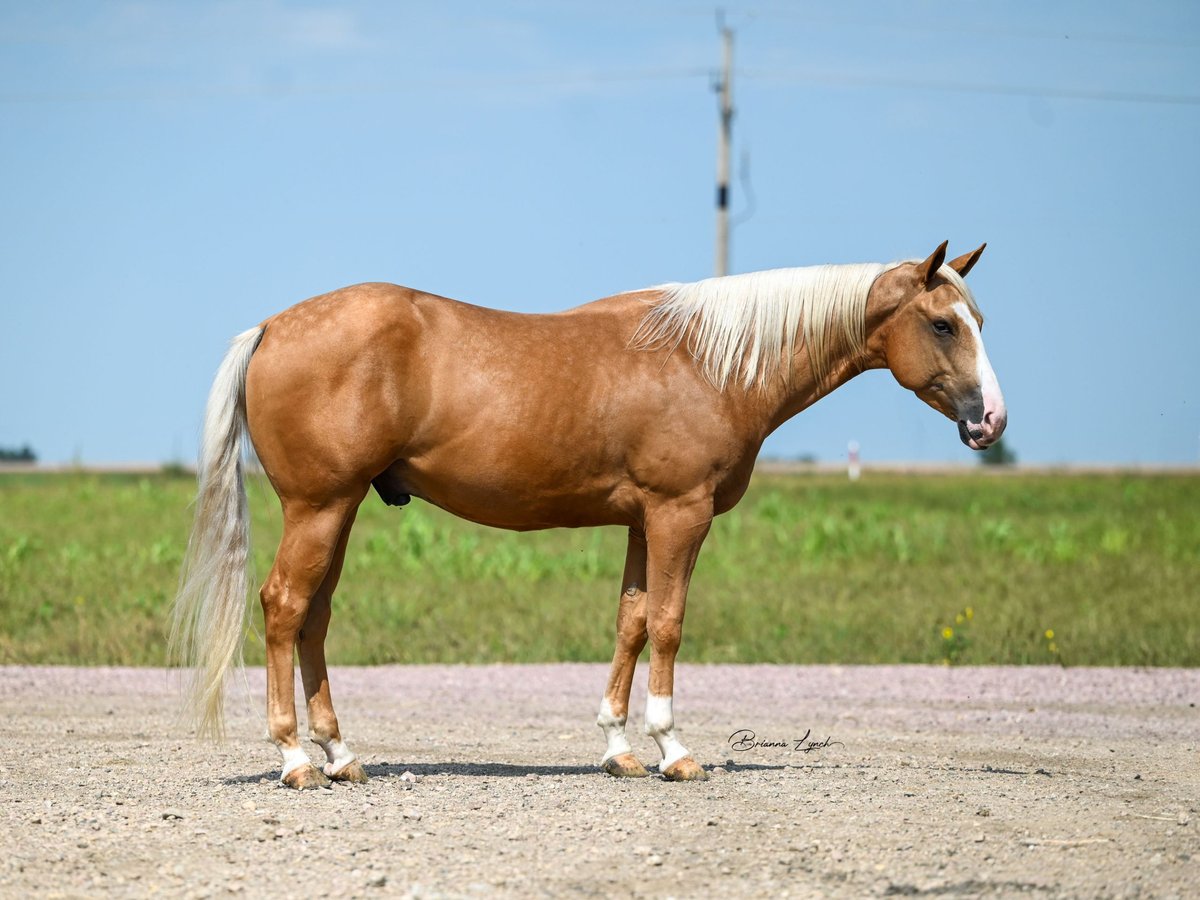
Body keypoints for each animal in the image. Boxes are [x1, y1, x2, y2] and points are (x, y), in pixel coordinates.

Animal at [174, 240, 1008, 787]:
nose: (990, 421)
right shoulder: (681, 514)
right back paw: (293, 760)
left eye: (978, 321)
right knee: (285, 607)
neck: (708, 361)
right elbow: (668, 622)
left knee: (314, 617)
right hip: (320, 506)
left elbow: (631, 620)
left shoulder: (644, 520)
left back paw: (340, 756)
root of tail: (272, 328)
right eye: (942, 324)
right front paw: (673, 750)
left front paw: (619, 749)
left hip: (339, 511)